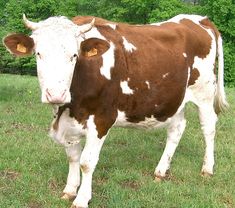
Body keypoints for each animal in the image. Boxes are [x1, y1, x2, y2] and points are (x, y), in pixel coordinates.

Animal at [3, 13, 228, 207]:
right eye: (38, 54)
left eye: (74, 55)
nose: (56, 94)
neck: (70, 106)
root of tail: (200, 19)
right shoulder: (69, 120)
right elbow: (73, 156)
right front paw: (69, 190)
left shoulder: (102, 118)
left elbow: (86, 162)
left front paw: (82, 199)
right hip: (174, 99)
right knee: (177, 129)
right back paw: (161, 171)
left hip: (204, 93)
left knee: (208, 127)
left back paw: (207, 169)